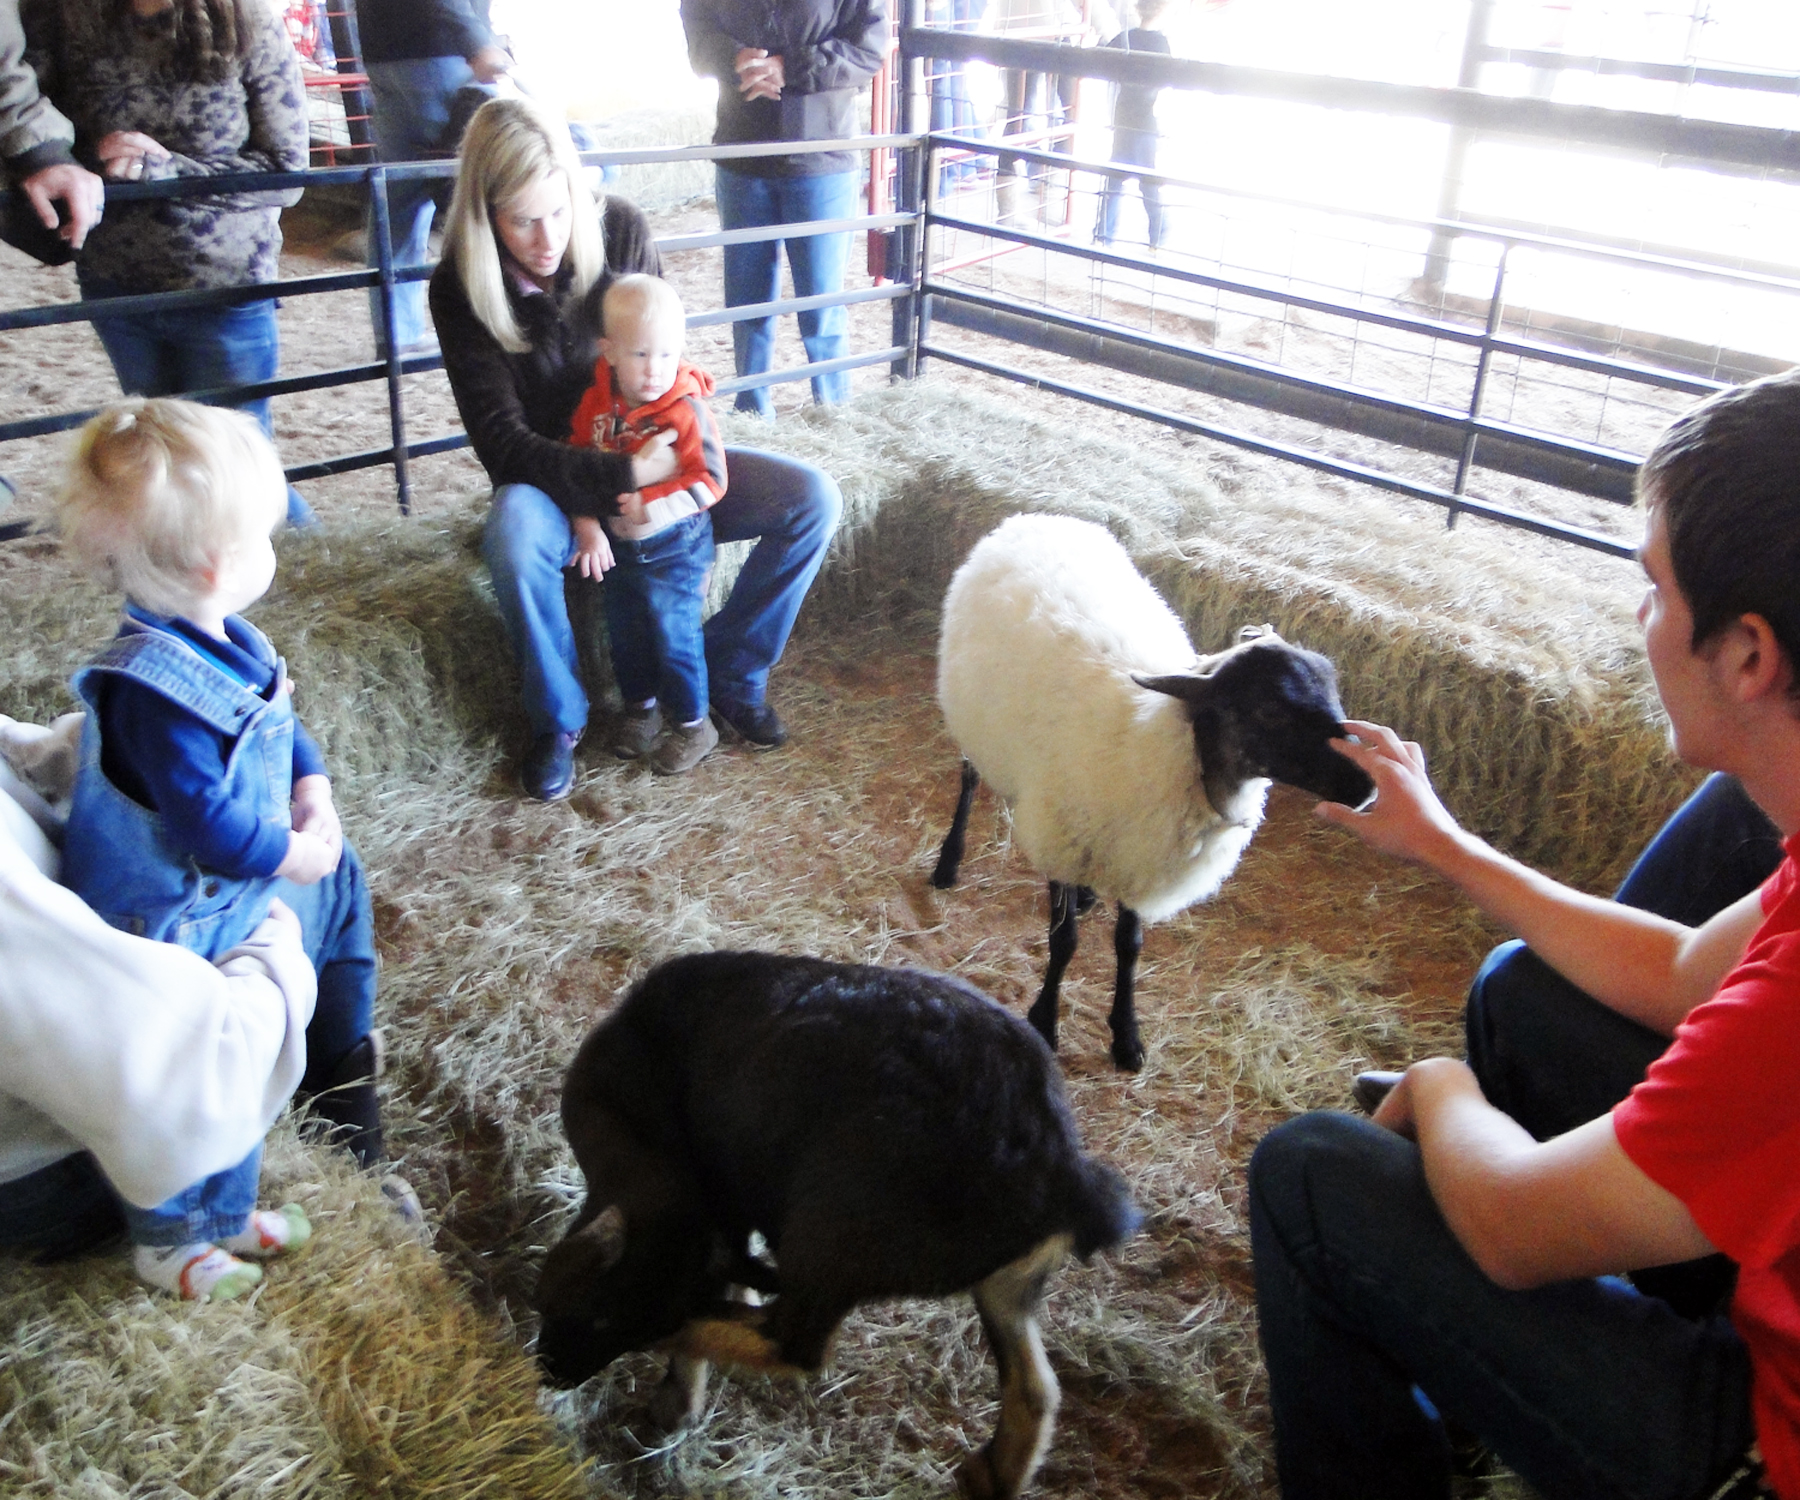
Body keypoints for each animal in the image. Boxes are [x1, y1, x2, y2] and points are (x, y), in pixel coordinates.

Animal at [936, 511, 1368, 1066]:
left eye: (1334, 689)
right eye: (1268, 710)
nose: (1366, 782)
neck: (1173, 748)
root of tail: (1035, 518)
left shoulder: (1140, 852)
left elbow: (1130, 944)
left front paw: (1126, 1034)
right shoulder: (1062, 840)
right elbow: (1063, 940)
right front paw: (1046, 1021)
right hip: (971, 719)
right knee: (969, 778)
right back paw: (948, 862)